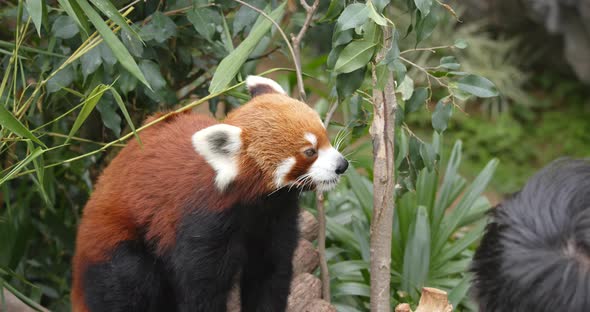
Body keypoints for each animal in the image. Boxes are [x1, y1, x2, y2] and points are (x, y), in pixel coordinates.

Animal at [71, 75, 350, 312]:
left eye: (325, 135)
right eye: (310, 152)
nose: (342, 165)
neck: (258, 204)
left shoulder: (277, 217)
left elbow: (269, 274)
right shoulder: (204, 223)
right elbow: (200, 287)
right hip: (110, 244)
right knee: (128, 279)